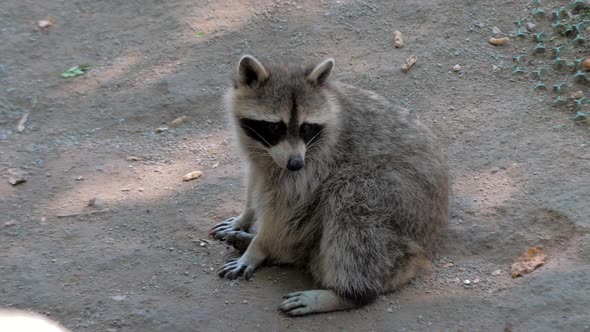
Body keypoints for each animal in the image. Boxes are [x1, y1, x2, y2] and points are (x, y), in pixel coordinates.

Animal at [210, 55, 450, 316]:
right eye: (275, 127)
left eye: (305, 127)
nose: (295, 163)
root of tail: (428, 243)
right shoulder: (260, 153)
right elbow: (256, 179)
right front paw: (245, 216)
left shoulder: (316, 165)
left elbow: (287, 212)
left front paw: (258, 248)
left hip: (398, 202)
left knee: (350, 203)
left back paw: (347, 294)